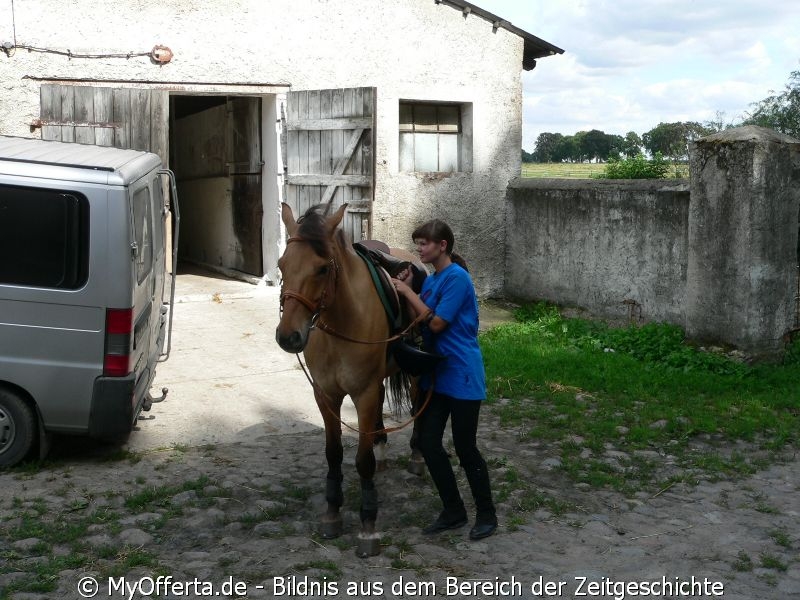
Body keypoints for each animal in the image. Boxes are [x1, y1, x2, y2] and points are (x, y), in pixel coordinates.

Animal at [276, 203, 418, 556]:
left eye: (322, 268)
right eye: (282, 265)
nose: (288, 336)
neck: (341, 323)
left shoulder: (363, 394)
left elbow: (362, 460)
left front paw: (368, 525)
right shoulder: (326, 396)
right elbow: (334, 453)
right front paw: (332, 513)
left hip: (414, 375)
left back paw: (417, 458)